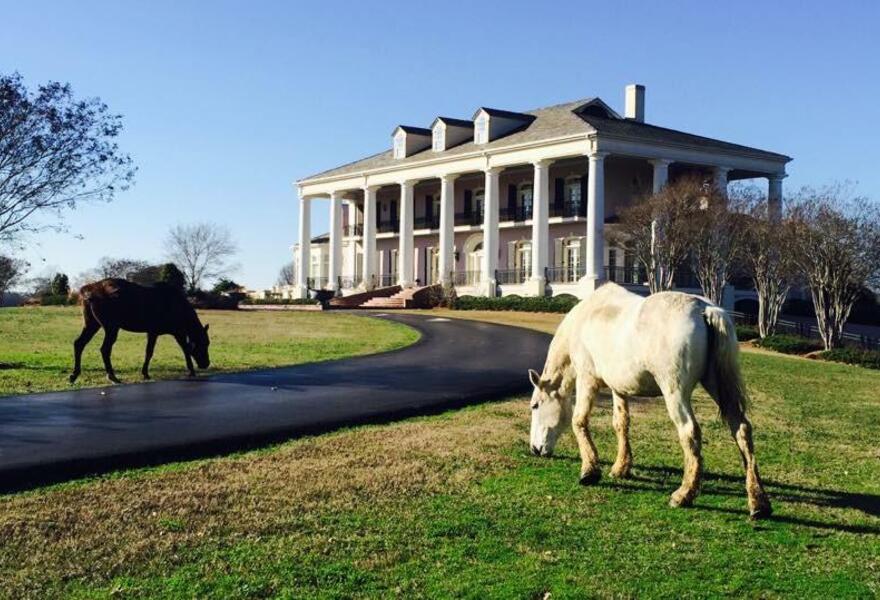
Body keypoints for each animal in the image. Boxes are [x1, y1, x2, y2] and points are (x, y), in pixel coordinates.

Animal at [69, 278, 211, 384]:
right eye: (204, 343)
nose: (206, 364)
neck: (176, 305)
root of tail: (89, 290)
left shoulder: (172, 332)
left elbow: (182, 349)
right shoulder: (159, 332)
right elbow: (152, 352)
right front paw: (146, 373)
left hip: (92, 325)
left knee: (79, 344)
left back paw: (74, 374)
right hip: (111, 328)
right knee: (104, 349)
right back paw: (112, 376)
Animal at [528, 284, 768, 516]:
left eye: (535, 405)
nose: (535, 449)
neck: (587, 318)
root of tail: (705, 309)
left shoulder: (587, 380)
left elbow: (579, 420)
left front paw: (589, 471)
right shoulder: (618, 388)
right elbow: (621, 424)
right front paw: (621, 467)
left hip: (675, 392)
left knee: (690, 431)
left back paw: (684, 495)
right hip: (716, 384)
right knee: (741, 428)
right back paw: (758, 502)